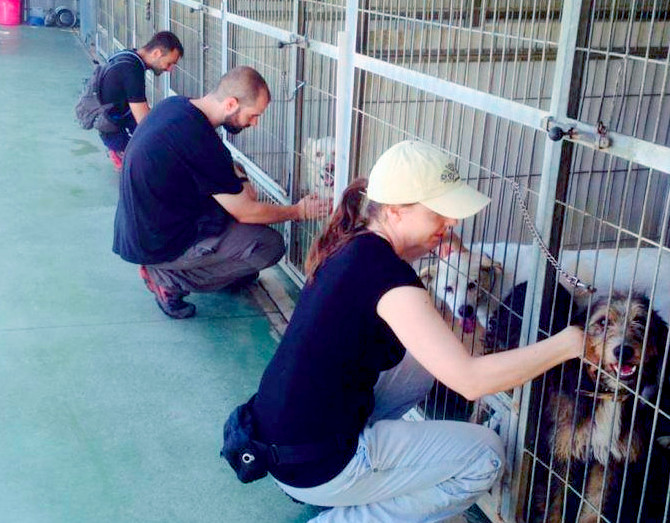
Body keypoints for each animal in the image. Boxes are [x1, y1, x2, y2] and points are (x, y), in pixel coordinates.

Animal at [536, 292, 670, 520]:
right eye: (603, 322)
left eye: (641, 321)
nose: (623, 351)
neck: (606, 393)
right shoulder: (563, 449)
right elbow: (555, 503)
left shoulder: (610, 459)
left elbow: (595, 505)